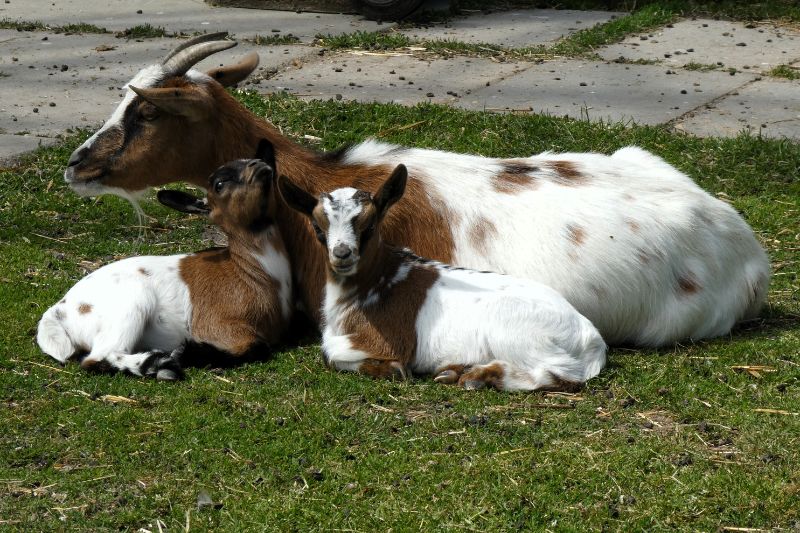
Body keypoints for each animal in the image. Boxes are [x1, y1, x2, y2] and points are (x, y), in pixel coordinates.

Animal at [38, 141, 291, 379]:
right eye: (219, 185)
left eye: (251, 159)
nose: (260, 165)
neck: (251, 272)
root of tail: (60, 310)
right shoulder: (217, 324)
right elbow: (257, 347)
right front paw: (187, 352)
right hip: (131, 305)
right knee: (97, 358)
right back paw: (161, 365)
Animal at [277, 165, 606, 391]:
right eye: (318, 229)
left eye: (369, 226)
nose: (342, 253)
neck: (377, 283)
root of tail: (591, 338)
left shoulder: (388, 341)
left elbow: (330, 353)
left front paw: (392, 370)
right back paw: (458, 371)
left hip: (517, 334)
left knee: (556, 373)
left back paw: (480, 376)